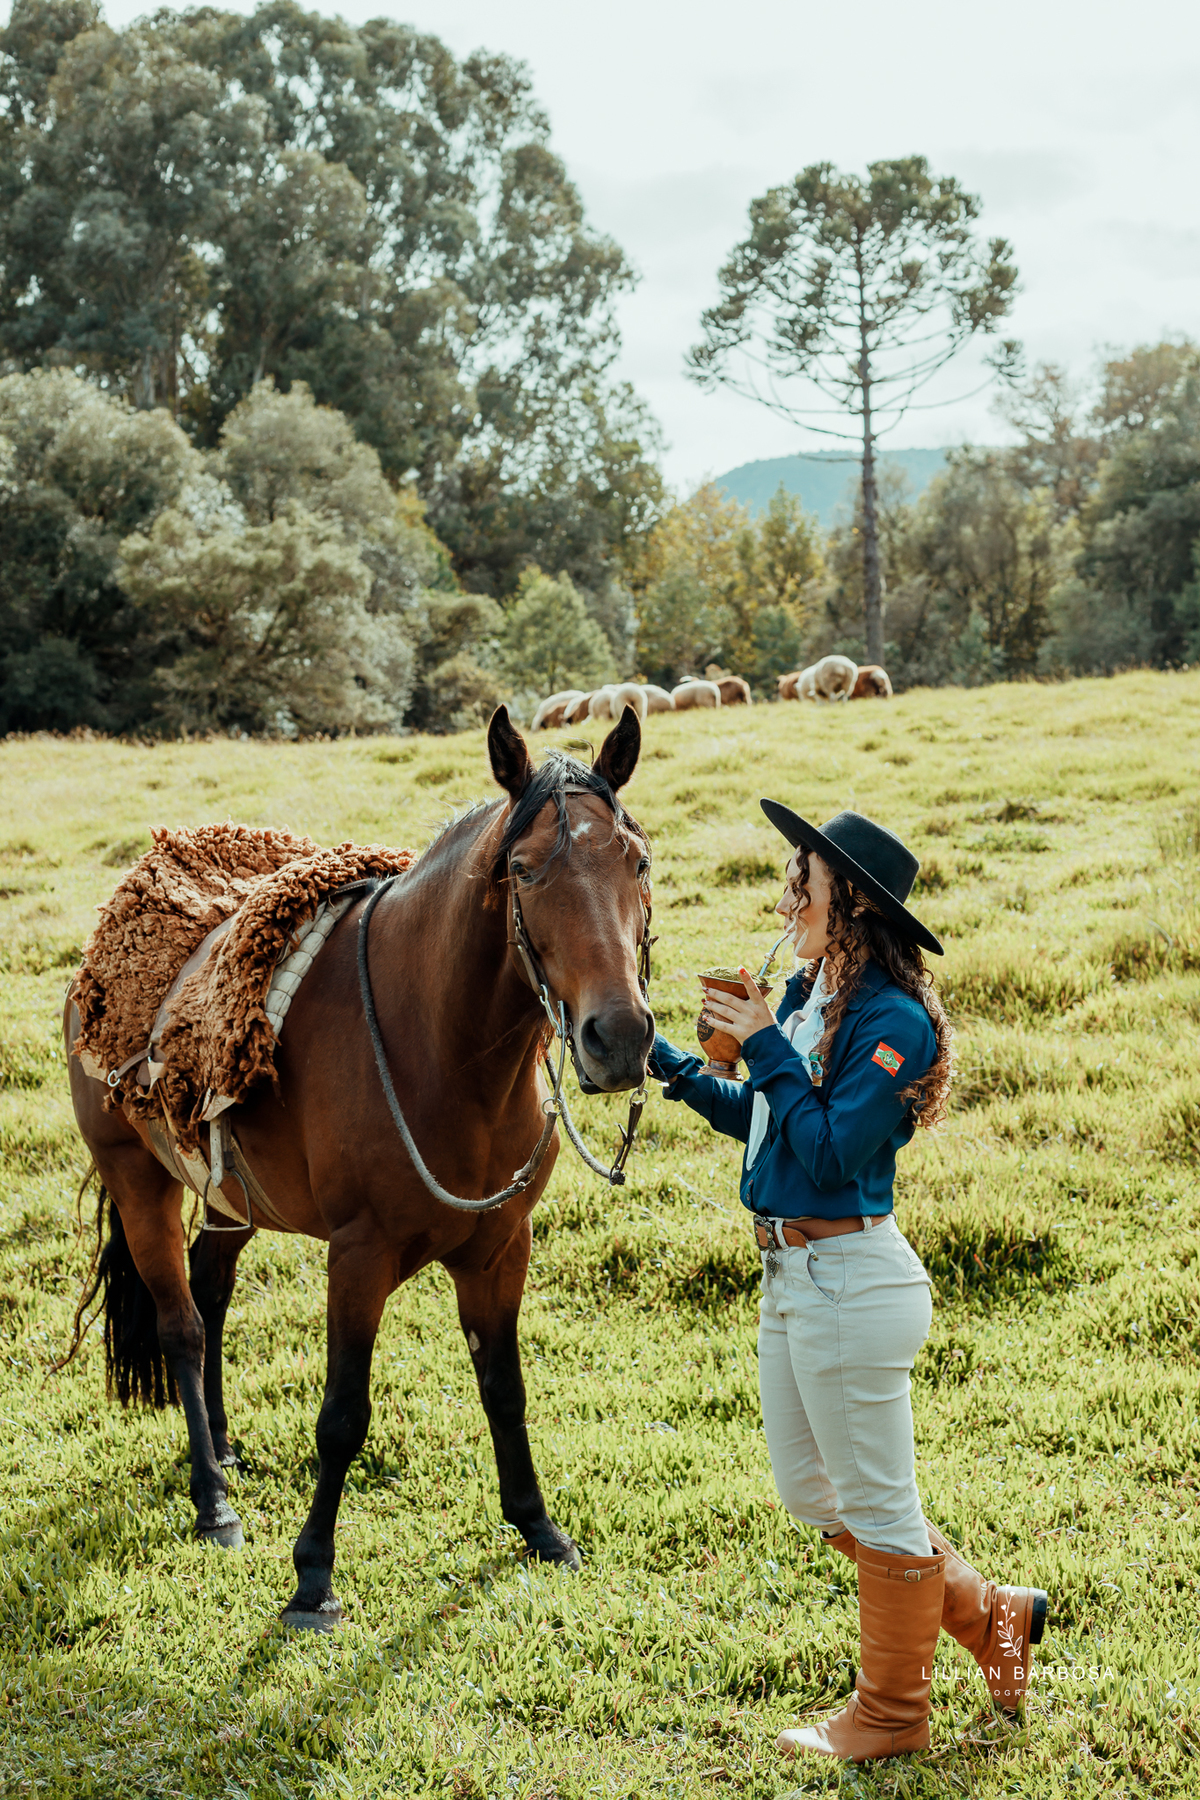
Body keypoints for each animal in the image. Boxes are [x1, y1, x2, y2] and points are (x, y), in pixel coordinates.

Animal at [63, 706, 654, 1629]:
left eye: (638, 859)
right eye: (523, 870)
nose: (619, 1038)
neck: (438, 1047)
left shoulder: (500, 1249)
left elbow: (506, 1387)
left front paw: (537, 1527)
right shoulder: (359, 1255)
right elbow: (342, 1413)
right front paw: (312, 1577)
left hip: (230, 1196)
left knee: (211, 1291)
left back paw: (225, 1448)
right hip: (137, 1181)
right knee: (181, 1325)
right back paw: (212, 1499)